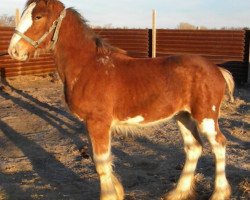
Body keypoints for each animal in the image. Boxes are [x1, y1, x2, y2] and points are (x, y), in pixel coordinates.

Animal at [8, 0, 234, 199]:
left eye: (38, 16)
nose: (13, 51)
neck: (89, 66)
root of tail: (217, 70)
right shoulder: (91, 124)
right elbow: (98, 159)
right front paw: (117, 190)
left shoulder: (98, 123)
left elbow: (100, 162)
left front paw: (109, 195)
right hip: (183, 116)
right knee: (194, 148)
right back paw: (177, 193)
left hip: (205, 117)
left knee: (219, 145)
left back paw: (219, 194)